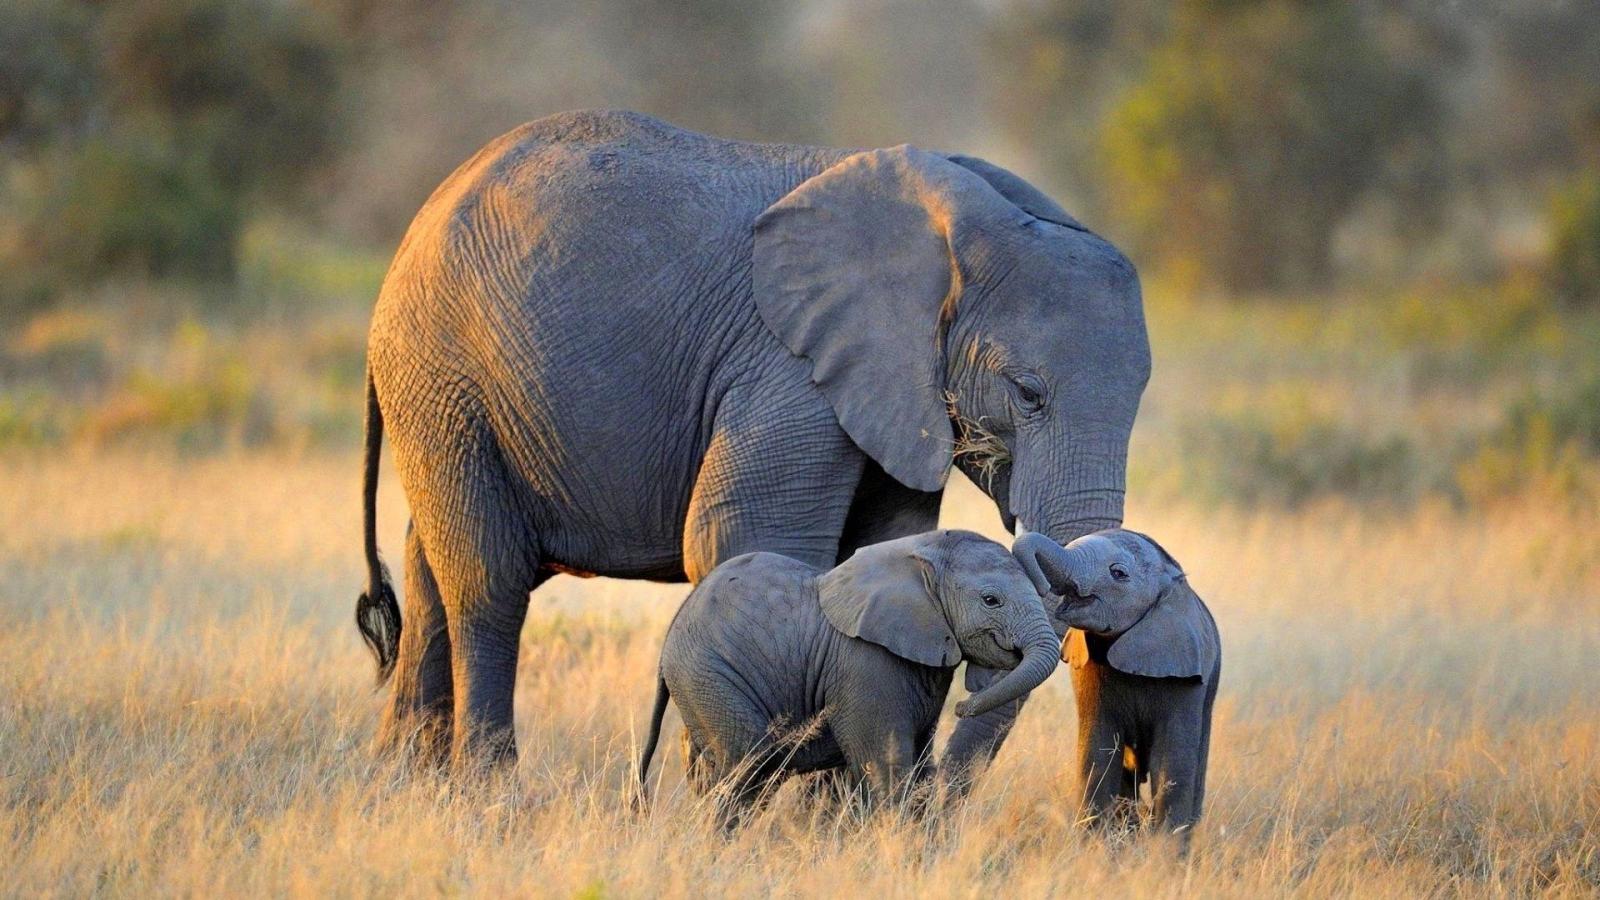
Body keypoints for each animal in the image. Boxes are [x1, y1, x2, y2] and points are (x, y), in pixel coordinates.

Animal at [354, 108, 1150, 770]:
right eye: (1028, 394)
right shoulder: (787, 367)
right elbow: (744, 537)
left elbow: (879, 546)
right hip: (443, 376)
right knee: (487, 583)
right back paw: (487, 791)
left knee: (430, 571)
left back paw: (405, 785)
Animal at [637, 530, 1061, 819]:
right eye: (991, 600)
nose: (962, 706)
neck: (921, 554)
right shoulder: (866, 665)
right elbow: (887, 767)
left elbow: (921, 766)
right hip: (708, 675)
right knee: (748, 765)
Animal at [1011, 529, 1220, 840]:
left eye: (1118, 573)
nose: (1041, 587)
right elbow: (1098, 754)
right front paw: (1095, 844)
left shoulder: (1185, 675)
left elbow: (1171, 764)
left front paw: (1164, 852)